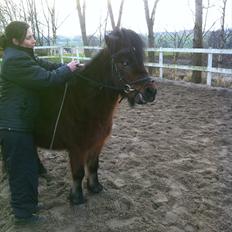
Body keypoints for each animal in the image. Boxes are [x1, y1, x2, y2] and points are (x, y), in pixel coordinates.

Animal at [35, 28, 158, 204]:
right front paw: (76, 198)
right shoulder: (77, 148)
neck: (83, 103)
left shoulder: (97, 143)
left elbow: (93, 166)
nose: (151, 92)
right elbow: (78, 173)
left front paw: (95, 187)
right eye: (124, 62)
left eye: (141, 59)